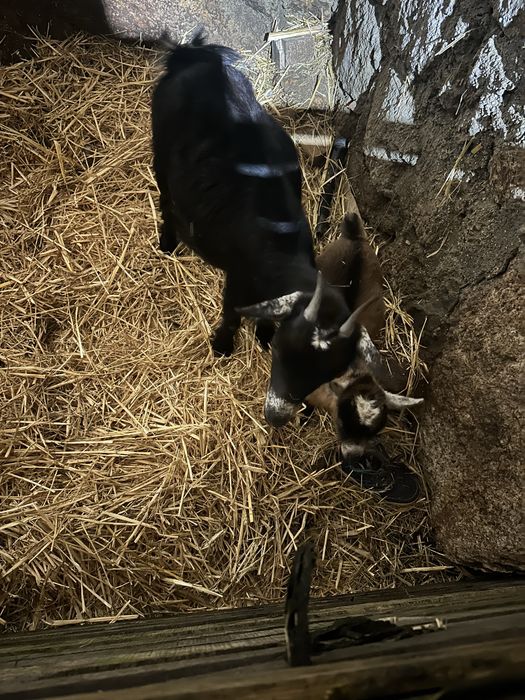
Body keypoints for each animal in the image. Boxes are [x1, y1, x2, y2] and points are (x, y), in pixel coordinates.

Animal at [152, 33, 380, 427]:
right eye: (284, 355)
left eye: (326, 371)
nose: (280, 413)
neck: (280, 250)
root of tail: (193, 56)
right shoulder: (238, 277)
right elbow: (231, 313)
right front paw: (222, 345)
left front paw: (261, 332)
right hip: (160, 156)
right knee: (166, 200)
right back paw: (167, 242)